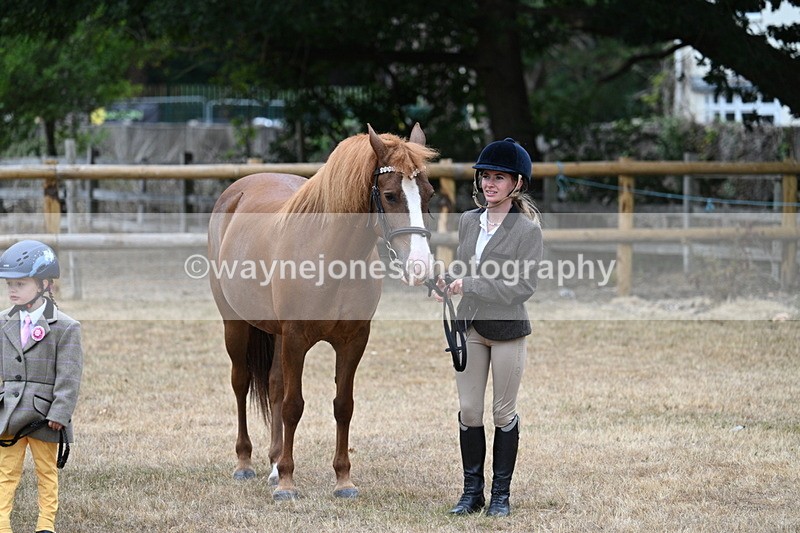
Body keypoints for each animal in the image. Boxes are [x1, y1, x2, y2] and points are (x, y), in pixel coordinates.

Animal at [208, 123, 437, 500]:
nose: (420, 266)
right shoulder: (296, 339)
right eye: (390, 195)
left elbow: (343, 405)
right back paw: (245, 462)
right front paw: (287, 483)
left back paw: (273, 463)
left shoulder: (353, 340)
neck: (330, 255)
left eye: (429, 194)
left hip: (276, 334)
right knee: (241, 383)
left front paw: (343, 480)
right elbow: (293, 406)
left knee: (273, 384)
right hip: (236, 325)